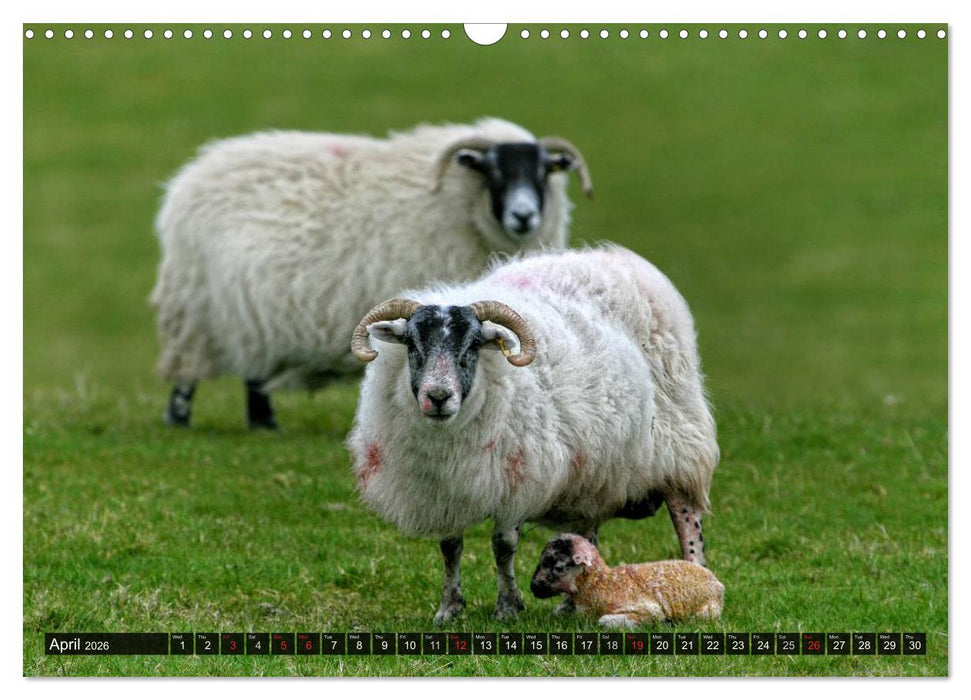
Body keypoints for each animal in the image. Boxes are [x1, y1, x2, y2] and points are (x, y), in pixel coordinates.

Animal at [150, 117, 593, 429]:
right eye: (492, 171)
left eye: (544, 172)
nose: (524, 216)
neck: (460, 207)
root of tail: (190, 178)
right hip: (197, 308)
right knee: (191, 374)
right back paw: (180, 419)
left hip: (251, 309)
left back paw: (265, 424)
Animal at [530, 533, 724, 628]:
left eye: (558, 566)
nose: (533, 587)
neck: (600, 582)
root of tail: (717, 583)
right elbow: (558, 612)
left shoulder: (646, 609)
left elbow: (603, 621)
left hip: (706, 611)